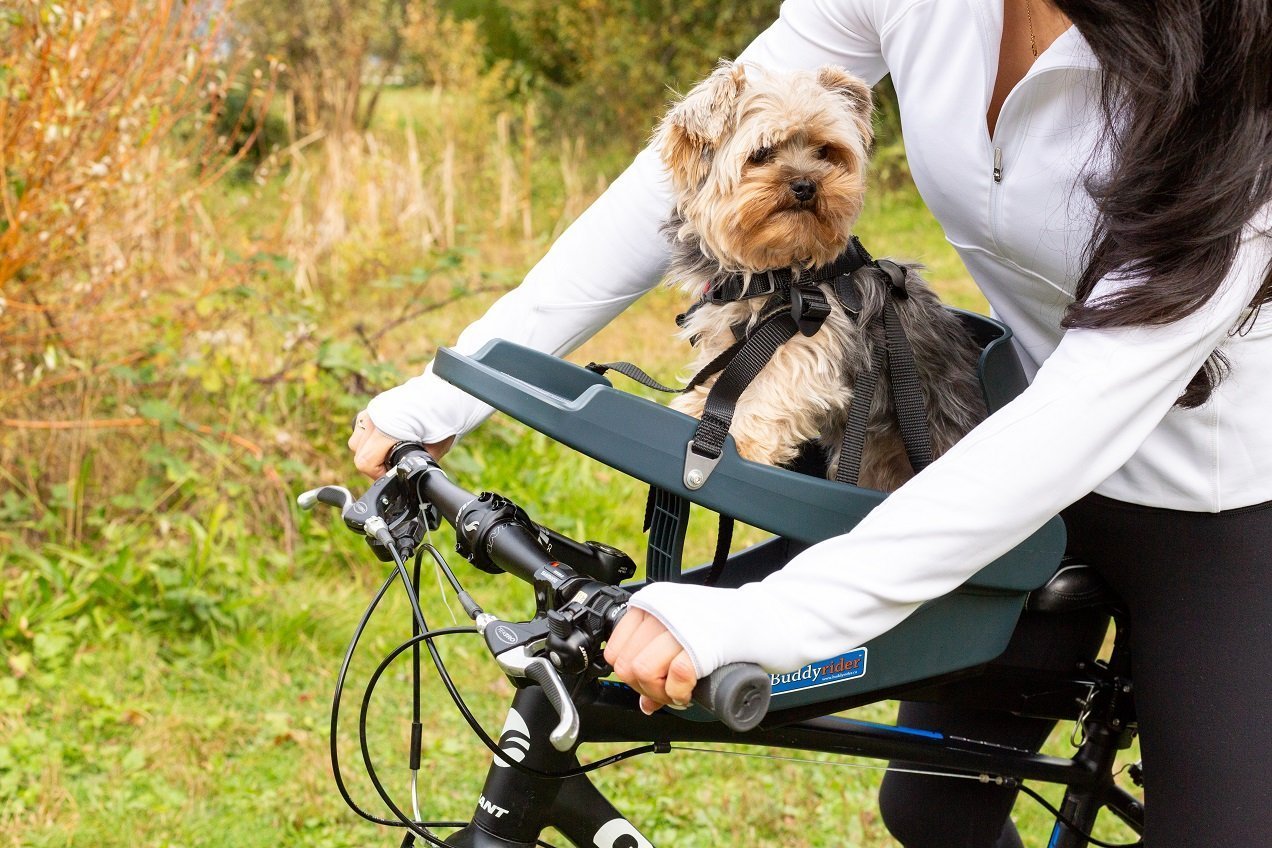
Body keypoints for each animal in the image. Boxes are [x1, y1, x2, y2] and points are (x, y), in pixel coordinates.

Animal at [651, 61, 987, 490]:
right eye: (761, 153)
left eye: (825, 151)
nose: (806, 184)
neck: (776, 272)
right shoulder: (728, 335)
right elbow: (722, 374)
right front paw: (694, 405)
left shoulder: (814, 339)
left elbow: (774, 386)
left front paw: (740, 437)